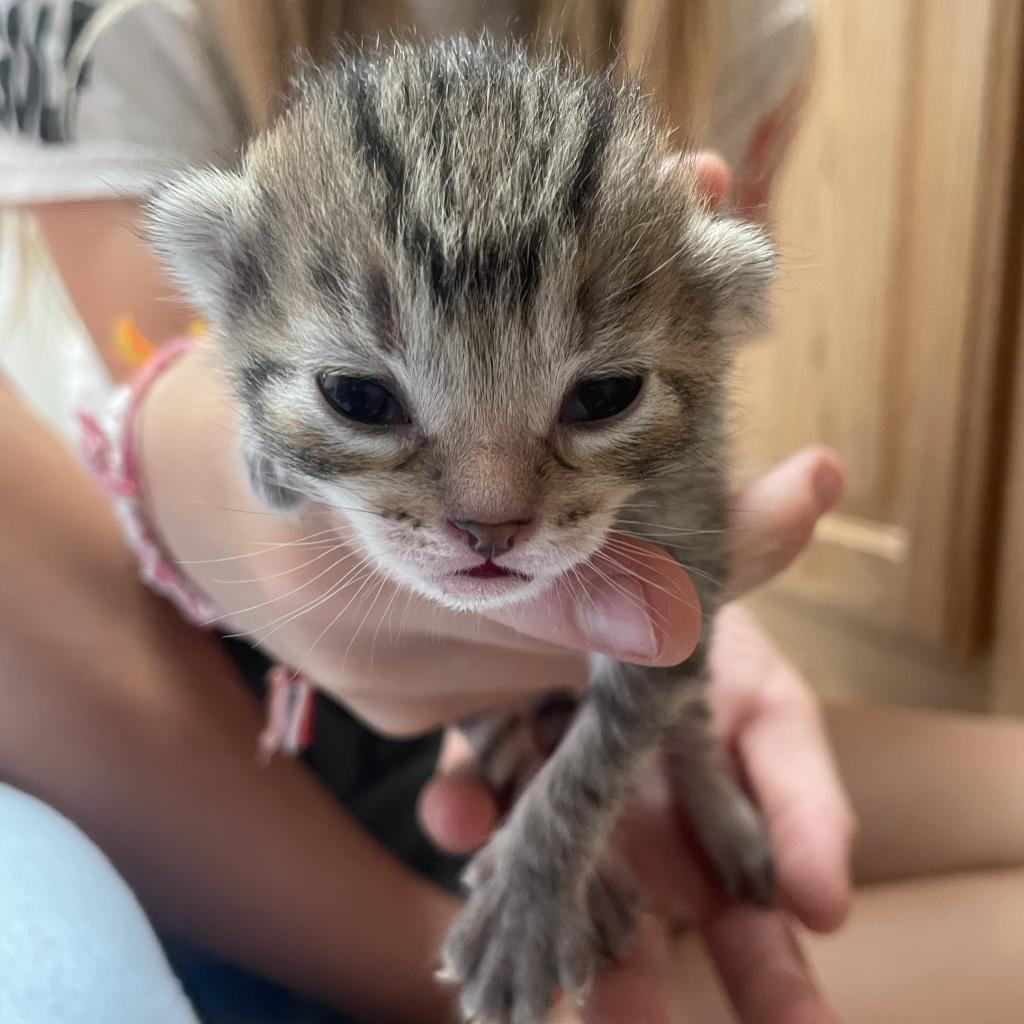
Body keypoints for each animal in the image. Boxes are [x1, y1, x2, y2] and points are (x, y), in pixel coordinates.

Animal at [148, 34, 774, 1024]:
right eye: (358, 397)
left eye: (606, 396)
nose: (491, 528)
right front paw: (264, 458)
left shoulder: (696, 571)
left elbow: (609, 746)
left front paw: (530, 898)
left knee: (691, 723)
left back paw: (721, 813)